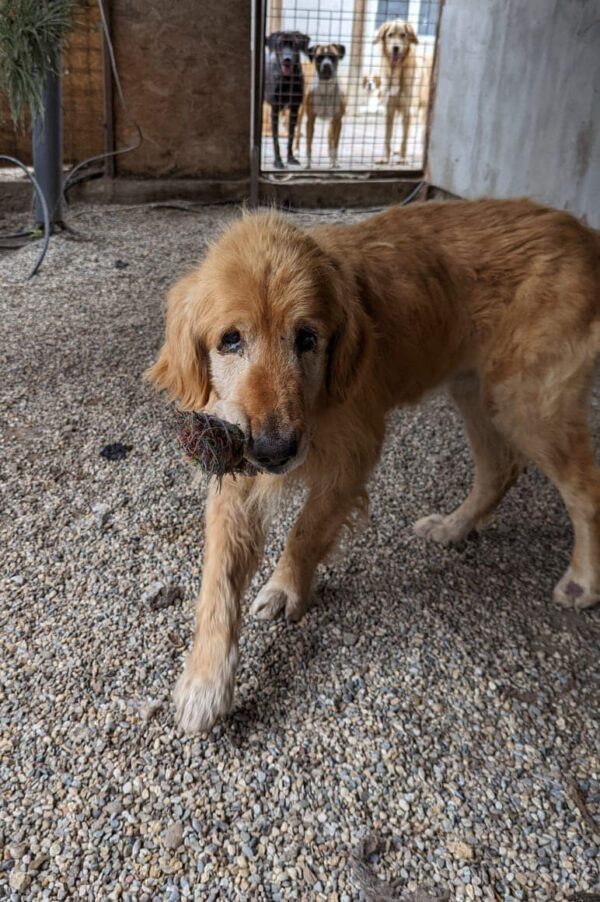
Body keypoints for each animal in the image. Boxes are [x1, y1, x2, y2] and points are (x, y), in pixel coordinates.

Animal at [149, 198, 600, 736]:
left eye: (307, 338)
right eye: (230, 340)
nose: (276, 451)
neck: (317, 407)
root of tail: (583, 233)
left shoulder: (353, 455)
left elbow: (306, 531)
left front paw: (285, 588)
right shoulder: (237, 472)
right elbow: (217, 580)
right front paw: (206, 679)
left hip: (529, 404)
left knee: (586, 491)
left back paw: (583, 581)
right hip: (475, 390)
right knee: (500, 469)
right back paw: (455, 526)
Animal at [266, 31, 310, 170]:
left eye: (295, 45)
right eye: (280, 44)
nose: (287, 60)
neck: (287, 79)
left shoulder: (295, 109)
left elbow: (291, 135)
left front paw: (290, 158)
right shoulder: (274, 109)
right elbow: (275, 139)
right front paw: (278, 161)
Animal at [376, 19, 432, 164]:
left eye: (403, 35)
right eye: (390, 35)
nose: (396, 48)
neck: (397, 72)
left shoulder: (408, 111)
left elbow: (404, 139)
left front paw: (402, 158)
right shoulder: (389, 109)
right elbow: (387, 136)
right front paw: (385, 157)